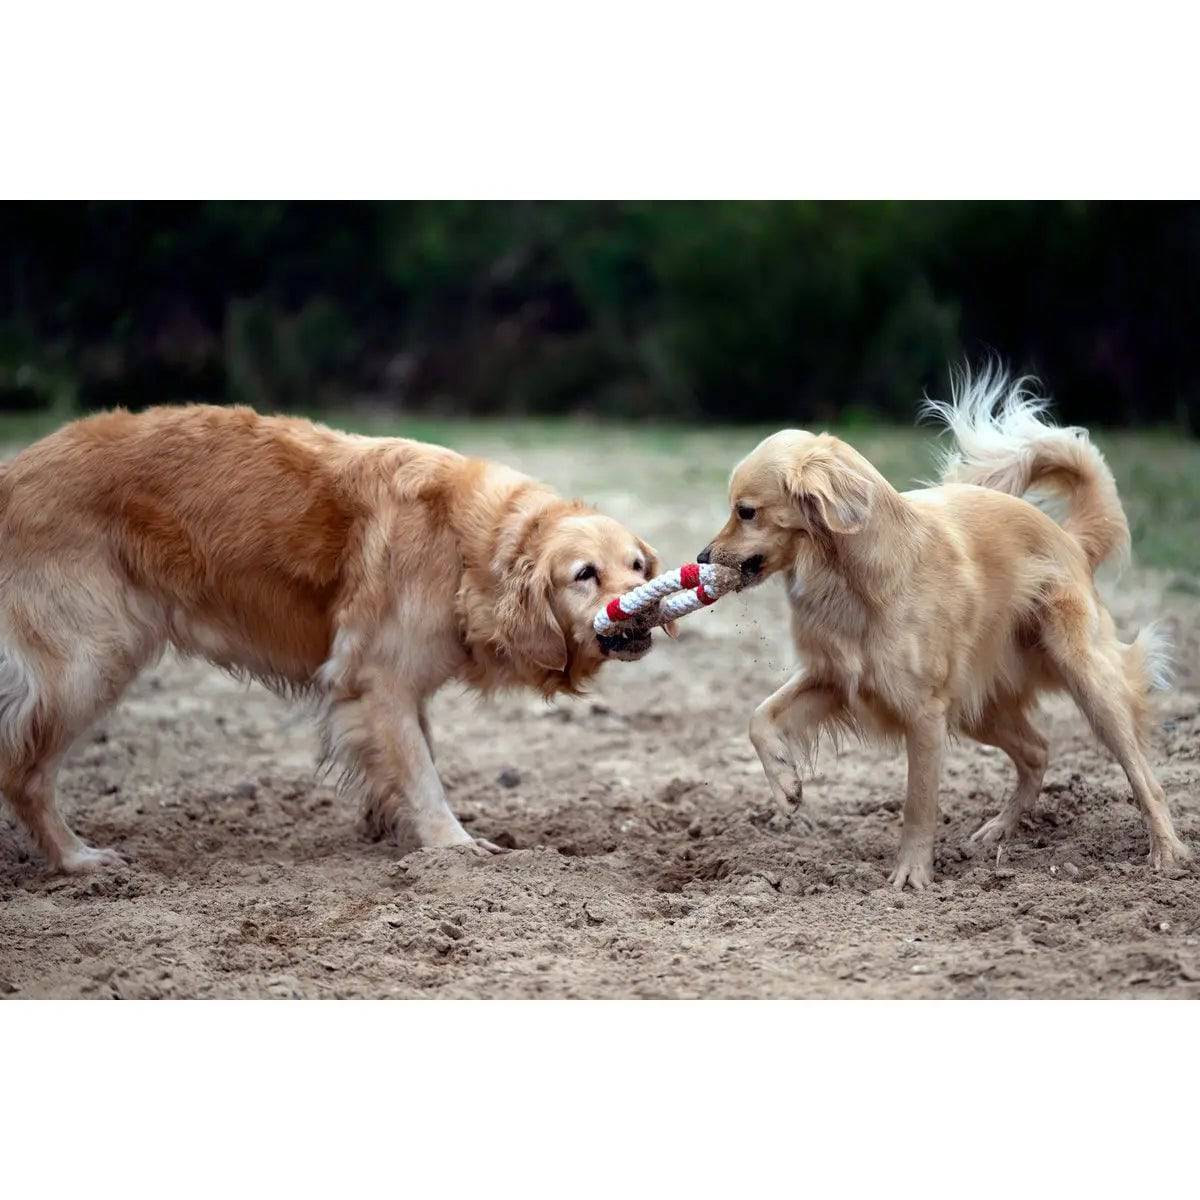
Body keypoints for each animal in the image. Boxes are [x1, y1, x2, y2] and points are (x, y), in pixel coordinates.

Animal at [0, 403, 667, 873]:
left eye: (637, 566)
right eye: (584, 575)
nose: (644, 610)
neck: (467, 548)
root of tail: (15, 470)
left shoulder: (397, 692)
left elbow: (412, 757)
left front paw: (389, 827)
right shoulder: (378, 680)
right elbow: (422, 772)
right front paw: (453, 846)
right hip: (89, 662)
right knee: (25, 773)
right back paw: (76, 859)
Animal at [700, 367, 1185, 892]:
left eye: (746, 511)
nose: (703, 557)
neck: (852, 577)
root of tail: (1070, 540)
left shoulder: (923, 713)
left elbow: (918, 803)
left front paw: (911, 877)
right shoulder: (835, 677)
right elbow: (759, 717)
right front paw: (788, 785)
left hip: (1088, 684)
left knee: (1143, 775)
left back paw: (1167, 852)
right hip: (976, 705)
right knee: (1037, 751)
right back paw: (999, 831)